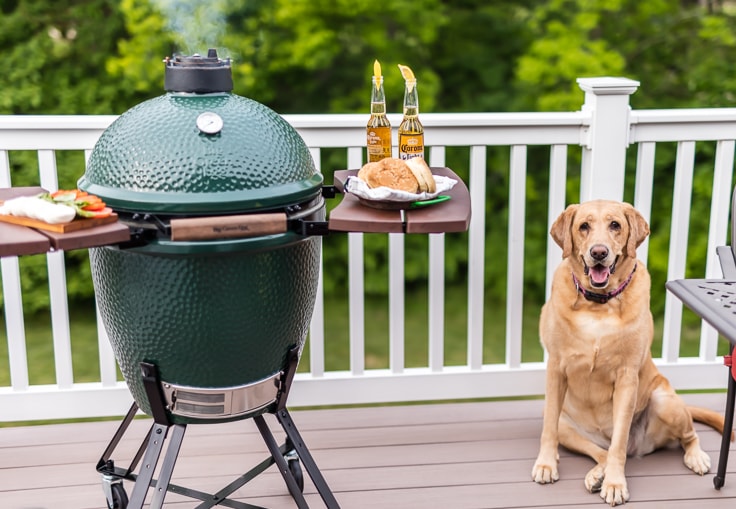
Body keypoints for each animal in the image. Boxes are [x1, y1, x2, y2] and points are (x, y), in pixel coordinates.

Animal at [528, 198, 724, 504]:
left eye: (615, 225)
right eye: (584, 226)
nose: (599, 252)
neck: (598, 305)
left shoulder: (627, 378)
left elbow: (619, 443)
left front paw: (615, 483)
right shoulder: (556, 368)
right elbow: (548, 430)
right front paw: (547, 464)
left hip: (665, 403)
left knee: (687, 435)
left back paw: (696, 457)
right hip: (566, 425)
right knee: (599, 451)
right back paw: (596, 474)